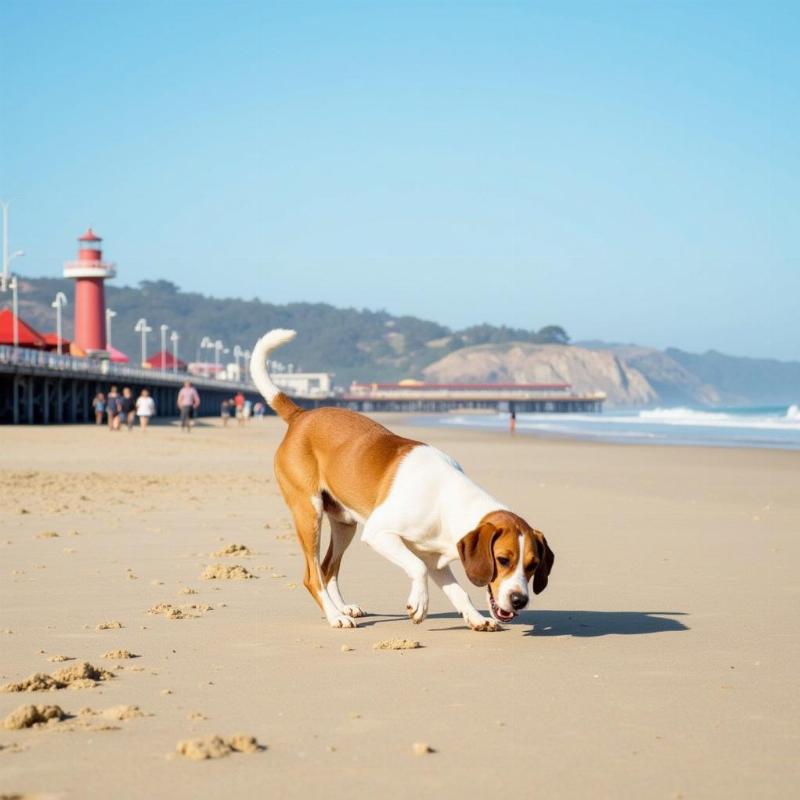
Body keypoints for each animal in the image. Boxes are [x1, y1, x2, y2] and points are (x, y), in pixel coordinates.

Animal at [248, 328, 552, 628]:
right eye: (503, 559)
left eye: (533, 565)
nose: (519, 600)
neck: (448, 501)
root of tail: (301, 415)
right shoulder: (380, 533)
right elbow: (417, 568)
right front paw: (419, 604)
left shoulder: (436, 558)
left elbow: (458, 591)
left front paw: (476, 619)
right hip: (310, 513)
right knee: (313, 575)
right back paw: (335, 616)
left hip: (344, 523)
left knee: (327, 567)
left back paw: (343, 608)